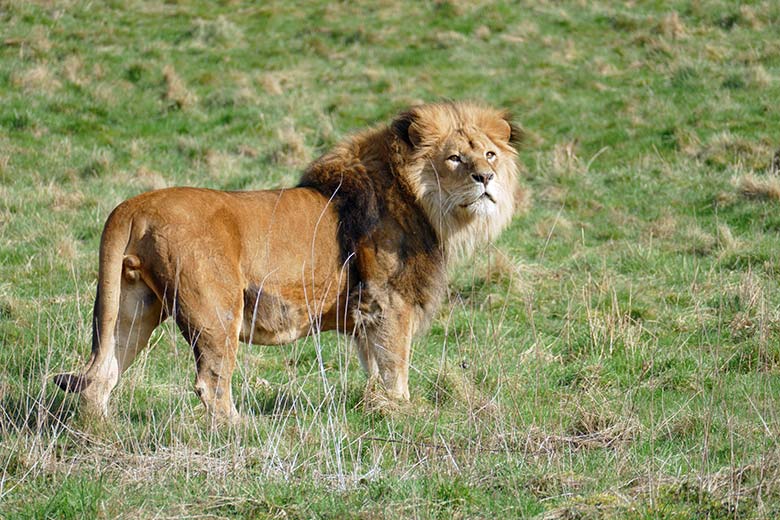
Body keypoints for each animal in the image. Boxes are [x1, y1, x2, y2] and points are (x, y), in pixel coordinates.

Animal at [53, 101, 516, 422]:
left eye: (490, 154)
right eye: (455, 157)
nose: (486, 178)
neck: (429, 207)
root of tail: (133, 206)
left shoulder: (365, 314)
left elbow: (374, 367)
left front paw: (378, 407)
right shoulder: (388, 304)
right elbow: (394, 366)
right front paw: (402, 412)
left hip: (130, 307)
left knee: (102, 375)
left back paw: (100, 432)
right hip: (217, 309)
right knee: (211, 383)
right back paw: (242, 430)